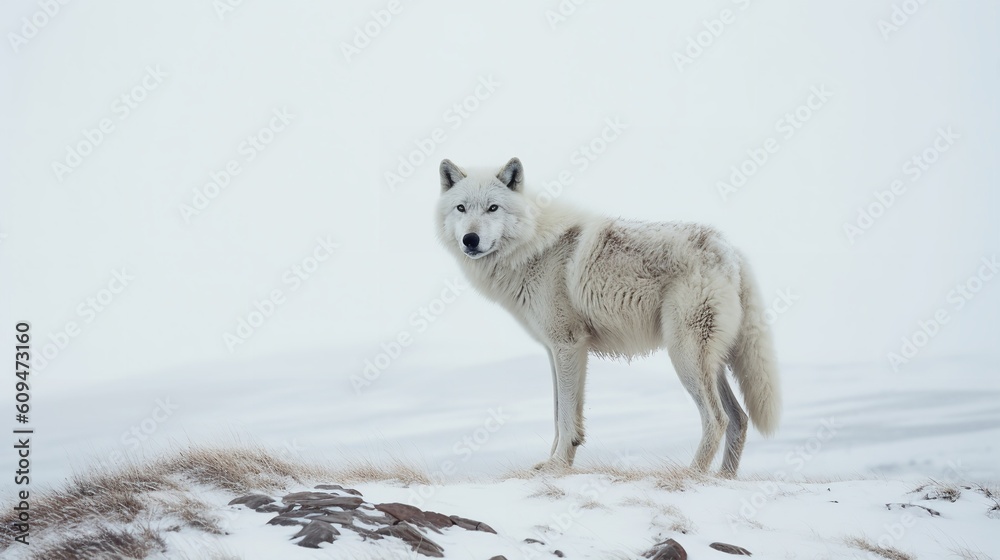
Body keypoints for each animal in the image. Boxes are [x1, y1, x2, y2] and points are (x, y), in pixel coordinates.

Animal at [435, 157, 780, 476]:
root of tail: (730, 252)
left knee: (717, 419)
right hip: (710, 362)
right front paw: (553, 464)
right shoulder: (555, 350)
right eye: (461, 208)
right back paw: (724, 479)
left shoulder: (568, 345)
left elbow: (564, 416)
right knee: (739, 418)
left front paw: (557, 465)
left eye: (492, 208)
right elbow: (560, 414)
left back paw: (691, 475)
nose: (470, 240)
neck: (533, 246)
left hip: (684, 357)